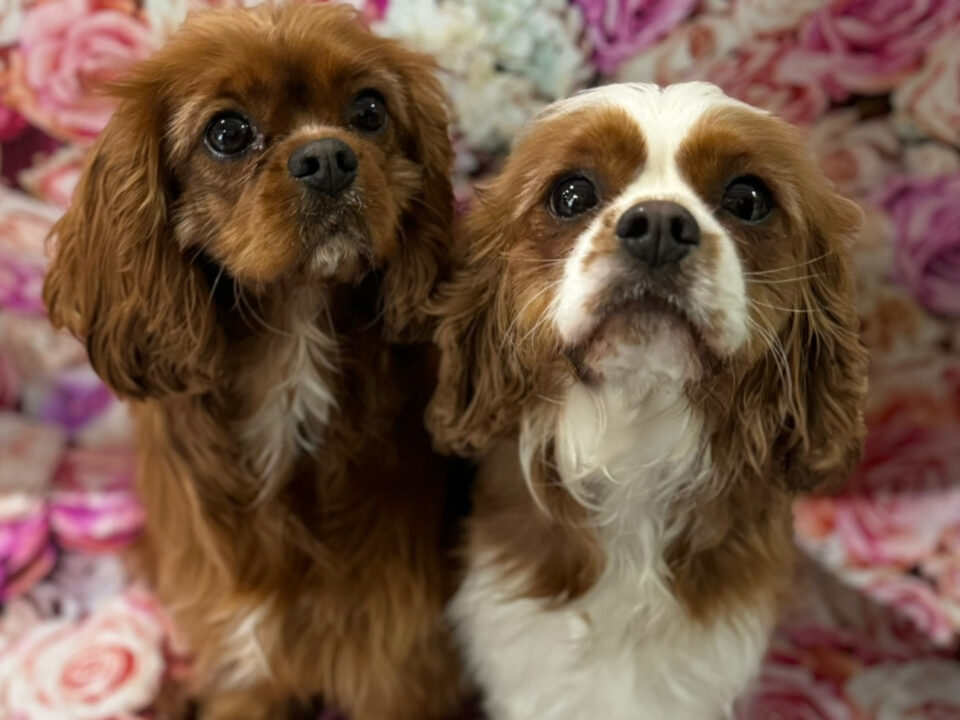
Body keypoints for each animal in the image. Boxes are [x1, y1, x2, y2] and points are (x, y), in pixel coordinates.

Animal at [46, 2, 464, 716]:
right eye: (228, 132)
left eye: (370, 111)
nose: (326, 156)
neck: (293, 333)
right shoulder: (243, 650)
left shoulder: (396, 653)